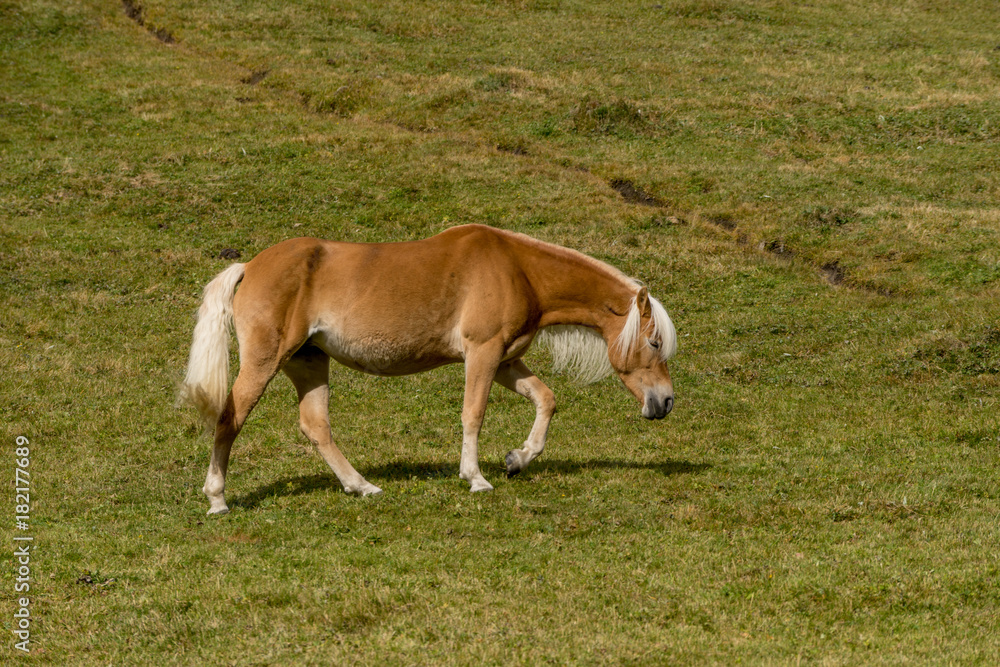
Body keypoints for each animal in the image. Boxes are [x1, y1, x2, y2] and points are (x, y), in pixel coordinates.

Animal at [180, 224, 677, 515]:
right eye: (654, 342)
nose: (666, 402)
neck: (518, 269)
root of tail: (250, 266)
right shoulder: (483, 354)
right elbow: (473, 414)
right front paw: (476, 478)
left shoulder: (505, 360)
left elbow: (546, 399)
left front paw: (518, 459)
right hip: (265, 361)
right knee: (229, 418)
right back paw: (217, 498)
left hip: (309, 361)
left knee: (315, 426)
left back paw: (362, 486)